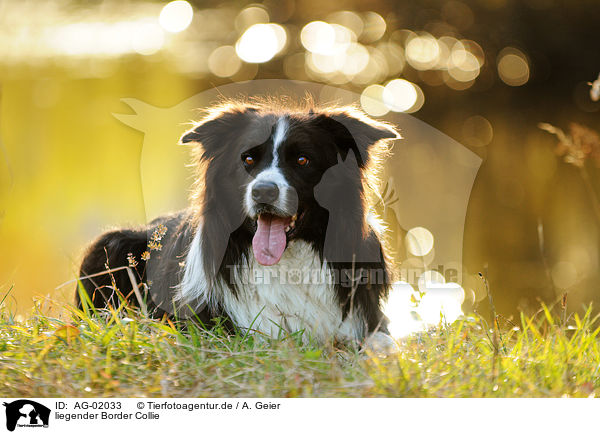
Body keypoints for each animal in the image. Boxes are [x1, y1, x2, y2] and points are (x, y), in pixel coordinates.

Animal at [77, 99, 400, 346]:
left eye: (302, 160)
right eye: (247, 159)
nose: (263, 192)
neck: (286, 261)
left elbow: (382, 343)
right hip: (112, 242)